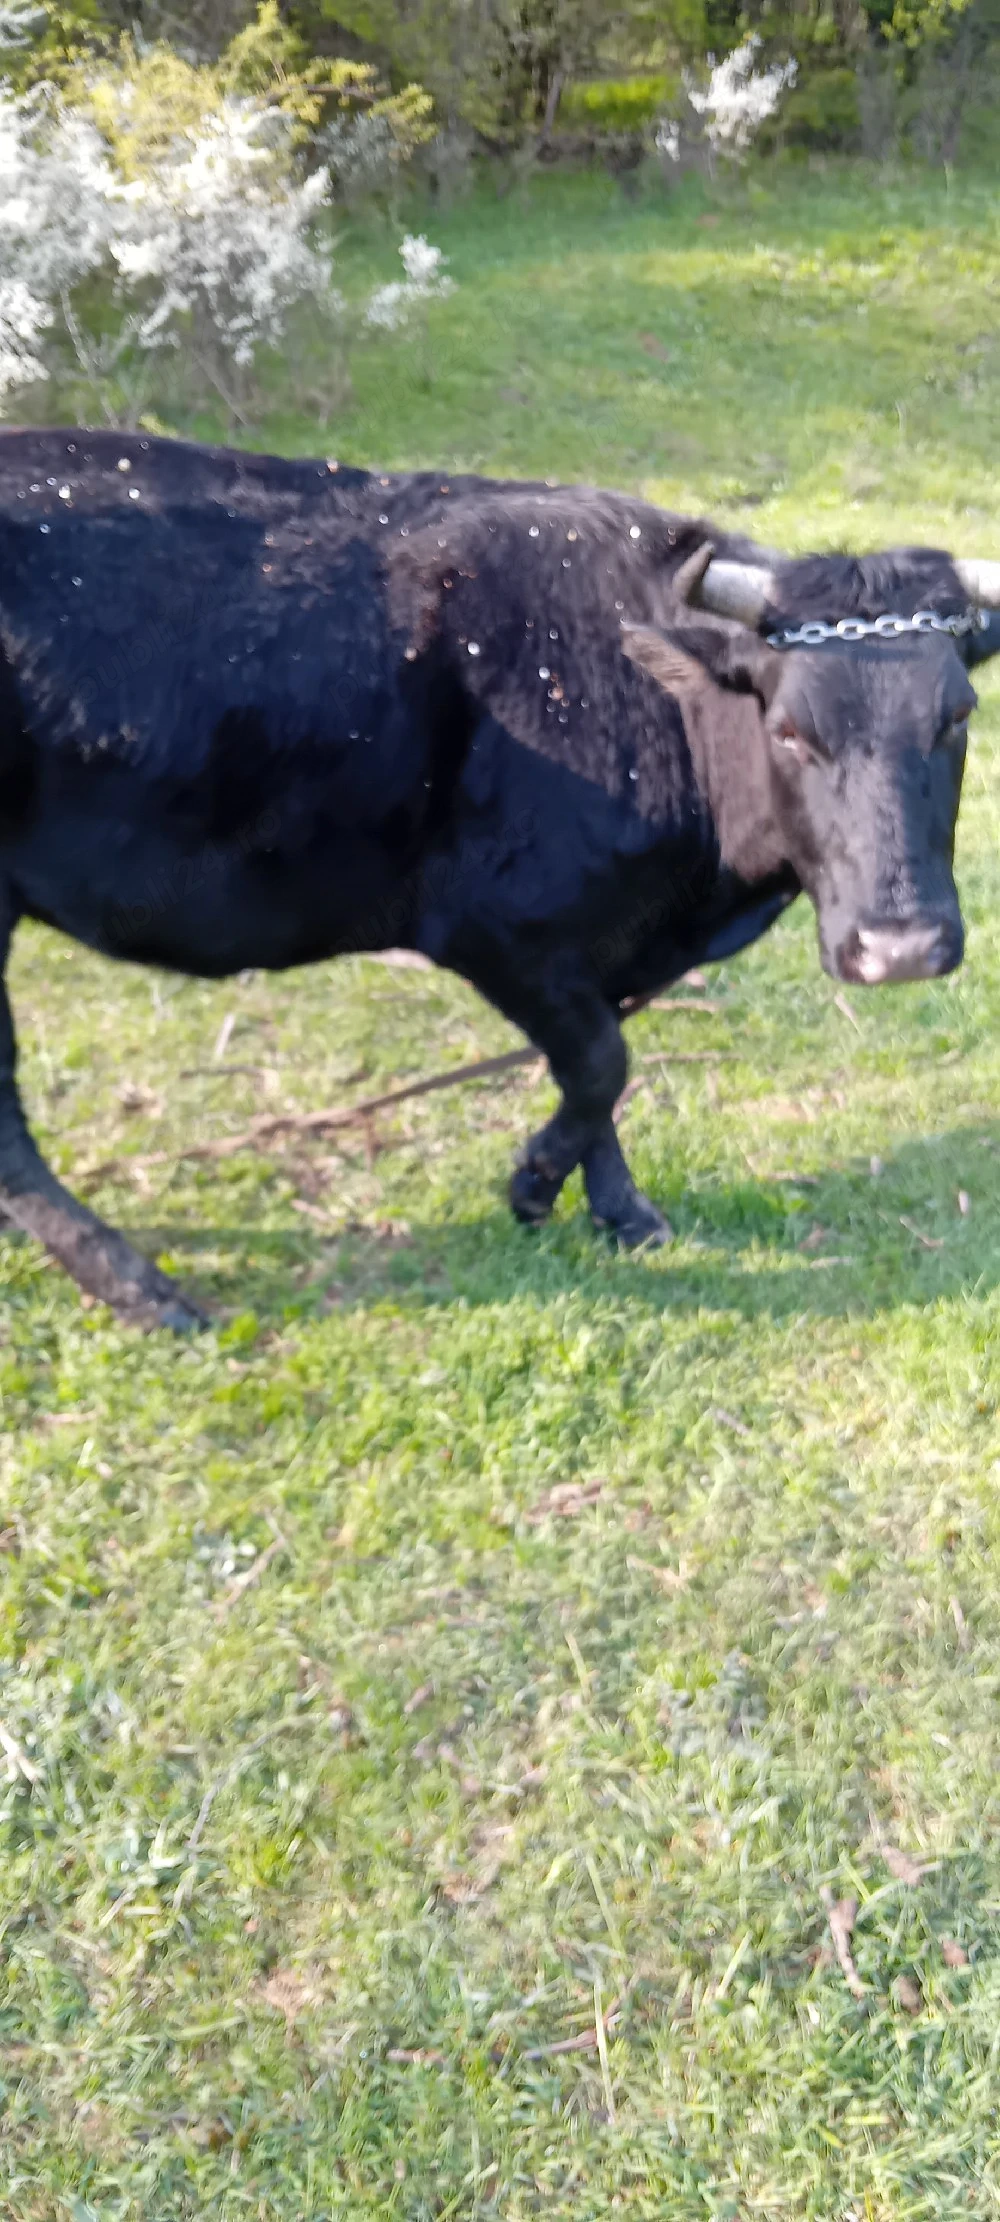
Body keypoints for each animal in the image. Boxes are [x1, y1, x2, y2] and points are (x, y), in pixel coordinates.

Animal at [0, 428, 996, 1329]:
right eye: (789, 729)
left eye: (957, 714)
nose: (900, 948)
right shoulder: (500, 930)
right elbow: (600, 1061)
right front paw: (533, 1185)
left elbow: (600, 1066)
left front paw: (620, 1212)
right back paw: (143, 1290)